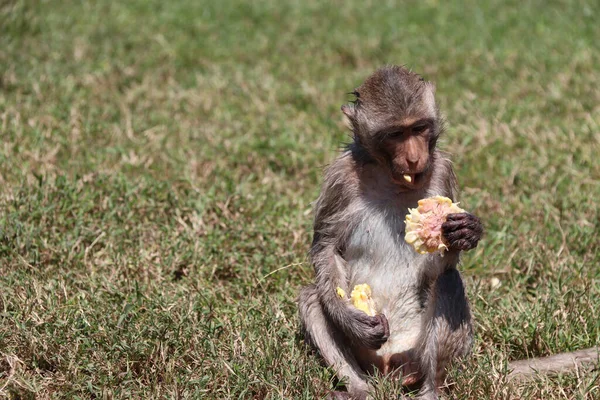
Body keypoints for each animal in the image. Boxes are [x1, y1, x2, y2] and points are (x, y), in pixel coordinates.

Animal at [298, 64, 486, 398]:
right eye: (396, 134)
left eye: (419, 128)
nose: (413, 158)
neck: (391, 177)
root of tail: (390, 369)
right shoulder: (340, 176)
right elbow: (326, 247)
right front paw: (349, 317)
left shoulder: (442, 170)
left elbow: (441, 267)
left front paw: (465, 233)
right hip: (367, 358)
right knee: (312, 296)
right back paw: (359, 389)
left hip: (417, 354)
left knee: (449, 281)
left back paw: (430, 389)